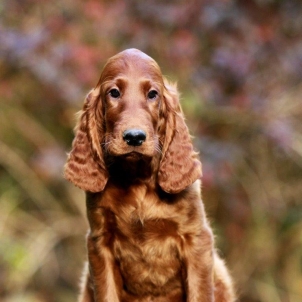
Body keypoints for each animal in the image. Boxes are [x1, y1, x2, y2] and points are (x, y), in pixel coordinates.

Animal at [65, 48, 235, 300]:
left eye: (153, 94)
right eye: (114, 93)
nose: (134, 137)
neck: (137, 178)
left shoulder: (197, 240)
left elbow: (199, 292)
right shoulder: (99, 243)